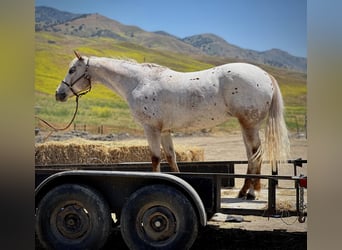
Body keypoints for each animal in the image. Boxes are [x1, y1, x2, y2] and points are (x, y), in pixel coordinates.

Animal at [55, 51, 288, 200]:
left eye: (72, 69)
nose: (59, 94)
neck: (139, 82)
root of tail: (265, 75)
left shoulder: (151, 129)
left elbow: (155, 158)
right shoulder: (165, 131)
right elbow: (171, 158)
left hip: (249, 124)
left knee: (256, 153)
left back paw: (252, 192)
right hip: (246, 125)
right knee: (251, 154)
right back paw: (244, 191)